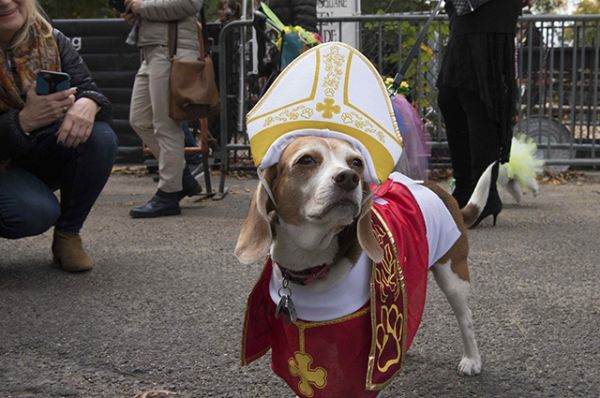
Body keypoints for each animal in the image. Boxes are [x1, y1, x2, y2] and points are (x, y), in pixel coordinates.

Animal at [236, 136, 492, 394]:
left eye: (356, 162)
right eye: (306, 160)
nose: (349, 177)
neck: (311, 262)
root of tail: (436, 188)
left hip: (453, 276)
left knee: (465, 318)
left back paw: (471, 360)